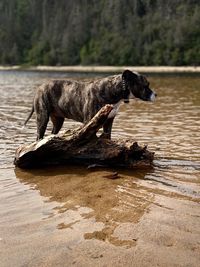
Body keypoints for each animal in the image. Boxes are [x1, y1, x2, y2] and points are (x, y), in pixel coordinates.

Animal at [24, 69, 156, 140]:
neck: (113, 89)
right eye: (146, 85)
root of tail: (39, 88)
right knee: (39, 135)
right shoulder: (90, 121)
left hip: (58, 120)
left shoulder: (109, 122)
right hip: (42, 117)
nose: (156, 94)